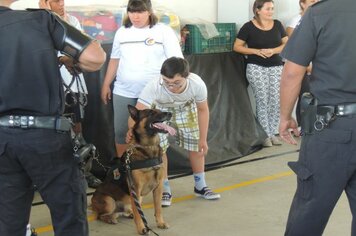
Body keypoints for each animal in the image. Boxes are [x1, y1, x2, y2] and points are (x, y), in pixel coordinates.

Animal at [92, 105, 175, 234]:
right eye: (151, 113)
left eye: (160, 110)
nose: (170, 113)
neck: (149, 147)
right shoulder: (135, 189)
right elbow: (138, 214)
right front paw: (142, 228)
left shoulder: (158, 187)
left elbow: (158, 208)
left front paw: (160, 223)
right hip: (110, 202)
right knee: (100, 215)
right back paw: (111, 218)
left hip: (136, 198)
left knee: (126, 210)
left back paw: (127, 213)